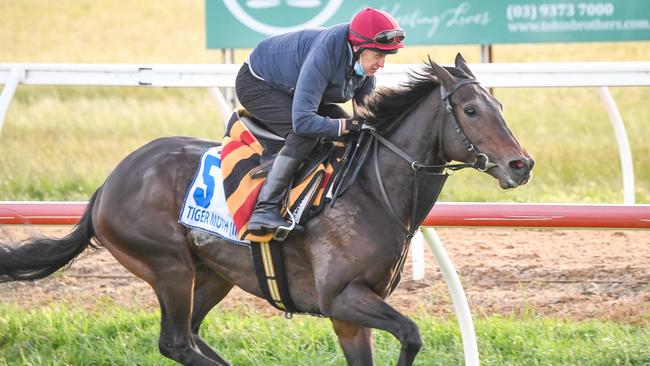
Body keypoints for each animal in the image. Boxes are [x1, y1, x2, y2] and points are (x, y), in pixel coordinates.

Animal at [1, 55, 532, 366]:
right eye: (470, 111)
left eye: (501, 106)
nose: (521, 164)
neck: (371, 190)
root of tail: (107, 185)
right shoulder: (342, 299)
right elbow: (412, 333)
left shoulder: (352, 314)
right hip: (168, 266)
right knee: (176, 342)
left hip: (212, 274)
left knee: (189, 336)